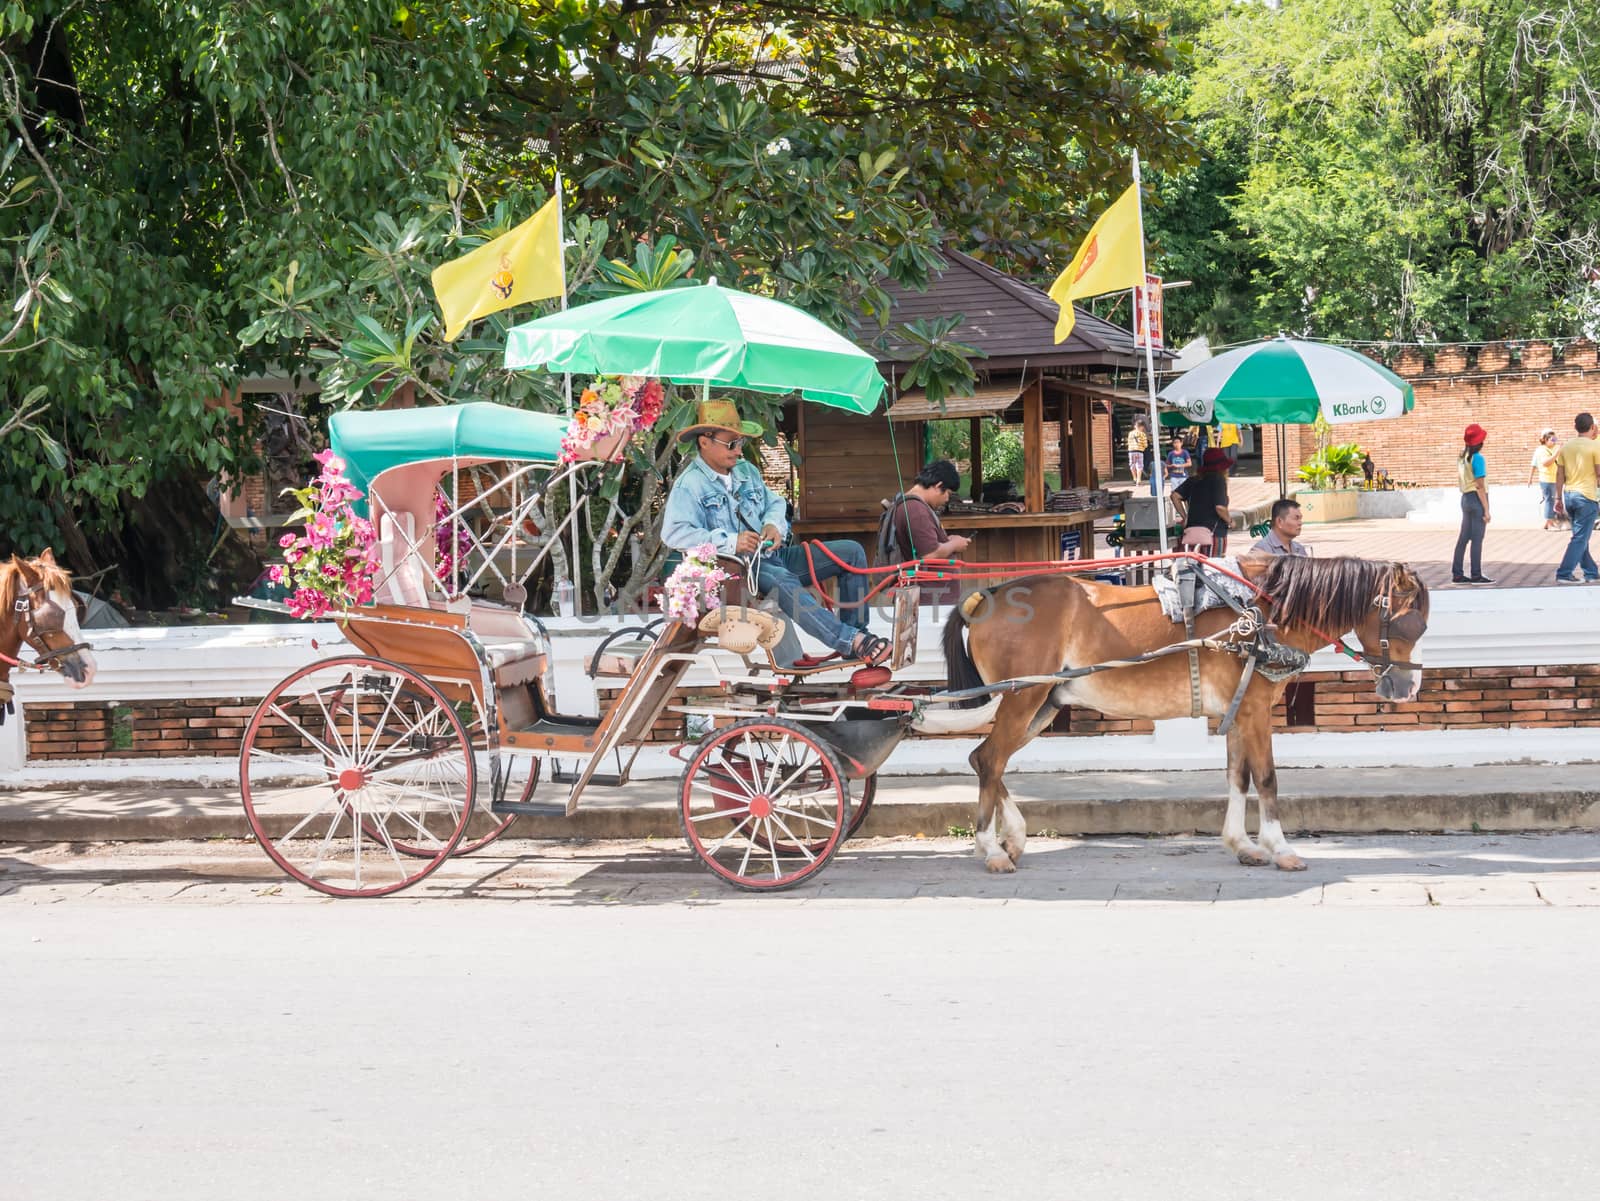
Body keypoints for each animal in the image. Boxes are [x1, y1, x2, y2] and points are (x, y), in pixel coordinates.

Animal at [934, 553, 1427, 876]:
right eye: (1412, 623)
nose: (1408, 687)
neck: (1262, 614)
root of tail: (987, 596)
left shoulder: (1239, 711)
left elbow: (1238, 777)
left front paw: (1242, 845)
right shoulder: (1255, 711)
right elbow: (1266, 778)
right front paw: (1280, 848)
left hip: (1044, 702)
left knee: (986, 760)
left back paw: (1013, 838)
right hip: (1023, 696)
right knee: (991, 760)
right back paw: (992, 850)